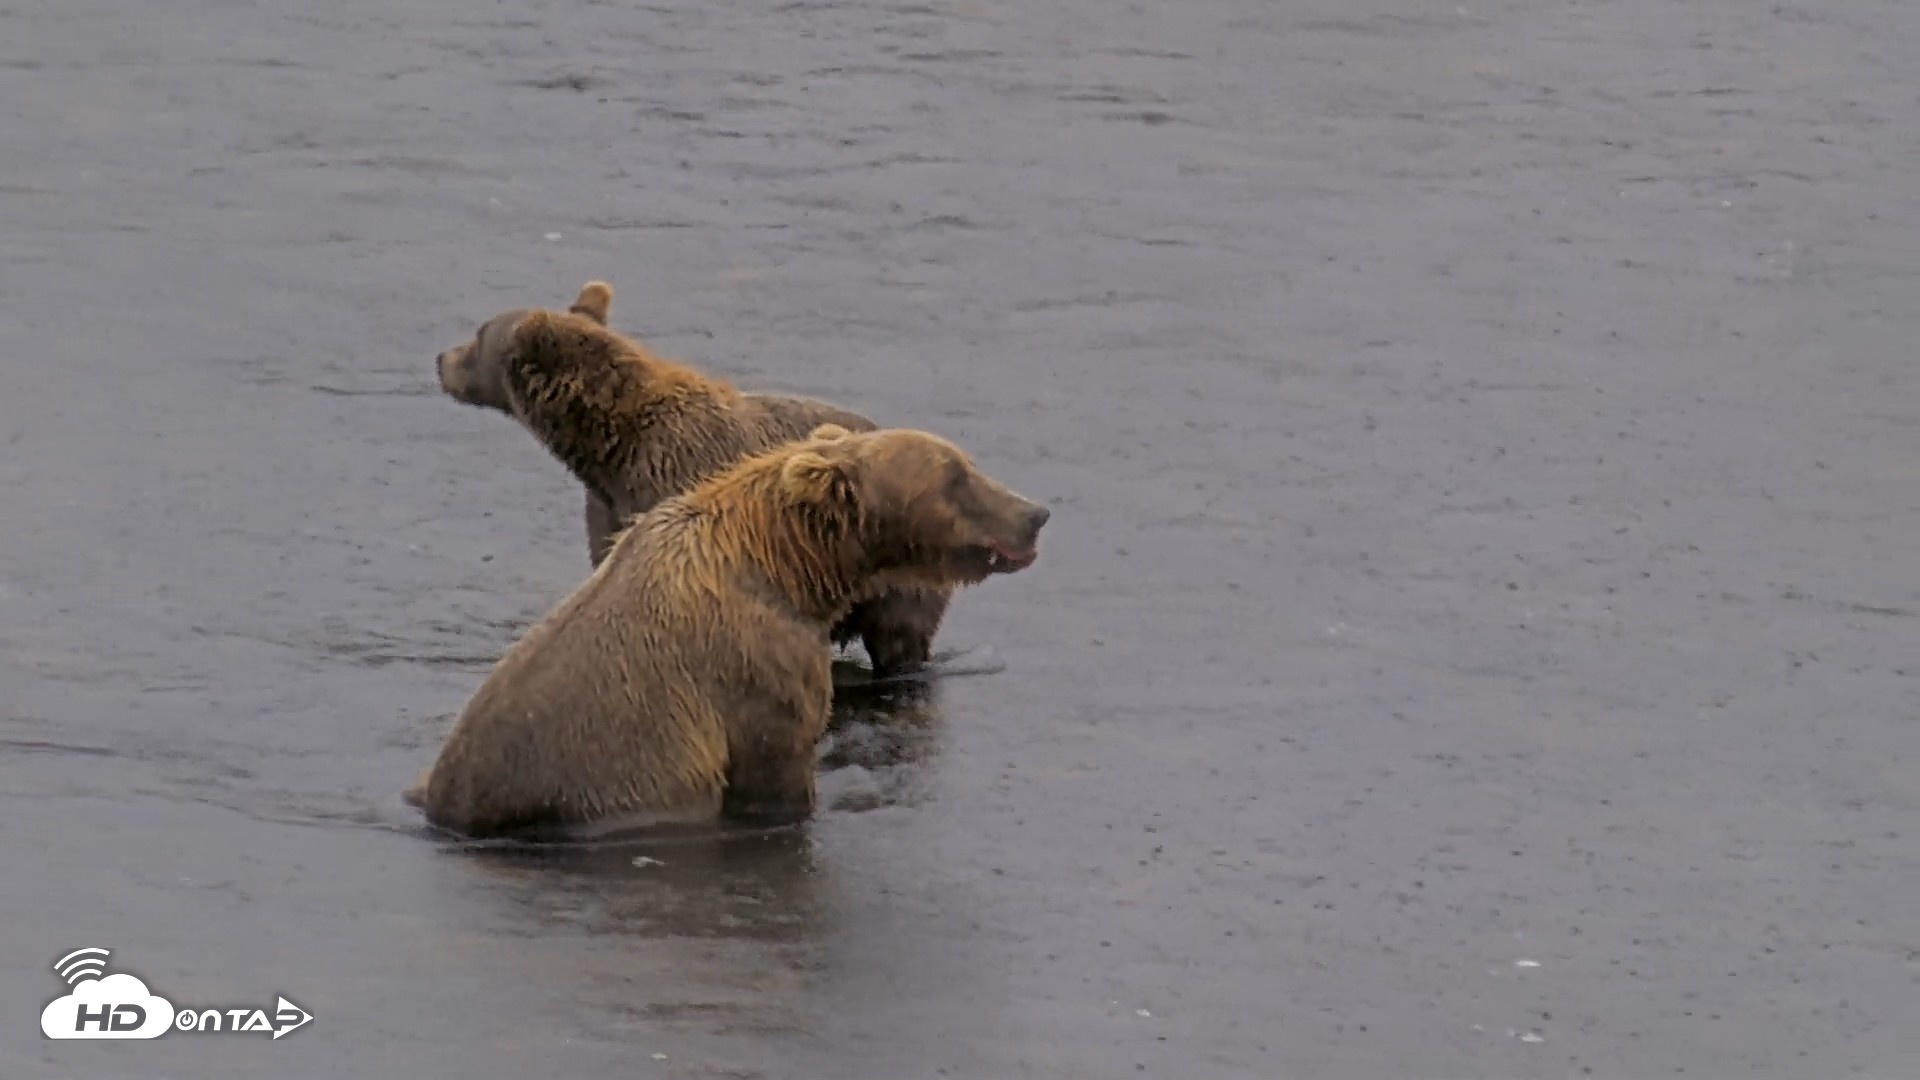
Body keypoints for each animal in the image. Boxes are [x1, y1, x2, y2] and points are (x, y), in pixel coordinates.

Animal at [403, 422, 1051, 839]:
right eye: (955, 476)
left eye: (966, 463)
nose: (1035, 512)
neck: (791, 567)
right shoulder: (756, 663)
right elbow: (775, 766)